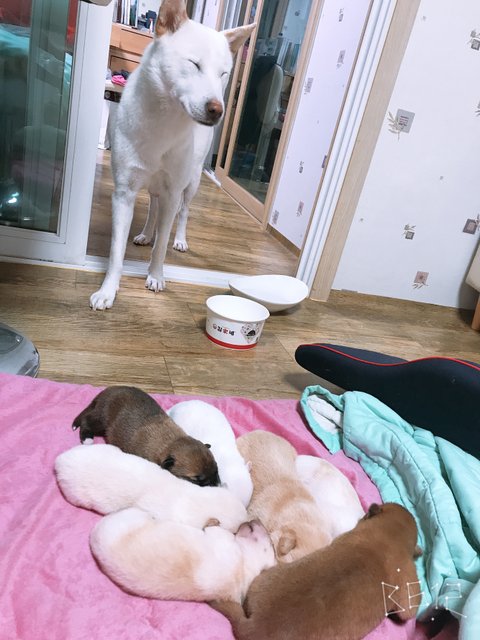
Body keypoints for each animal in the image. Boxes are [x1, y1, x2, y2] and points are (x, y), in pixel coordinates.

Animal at [72, 385, 219, 487]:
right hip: (101, 419)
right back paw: (87, 438)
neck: (170, 442)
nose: (216, 484)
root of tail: (107, 391)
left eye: (216, 469)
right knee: (86, 420)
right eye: (196, 479)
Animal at [90, 0, 256, 310]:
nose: (218, 110)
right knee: (153, 208)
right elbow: (116, 251)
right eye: (194, 64)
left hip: (190, 183)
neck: (165, 120)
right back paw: (145, 233)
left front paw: (156, 276)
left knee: (183, 212)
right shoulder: (124, 193)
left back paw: (179, 239)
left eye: (224, 74)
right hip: (155, 185)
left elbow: (162, 244)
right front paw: (108, 290)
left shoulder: (173, 191)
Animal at [90, 507, 275, 603]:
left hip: (129, 518)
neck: (245, 568)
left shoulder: (223, 542)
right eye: (272, 542)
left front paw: (213, 522)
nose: (257, 519)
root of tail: (94, 537)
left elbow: (214, 529)